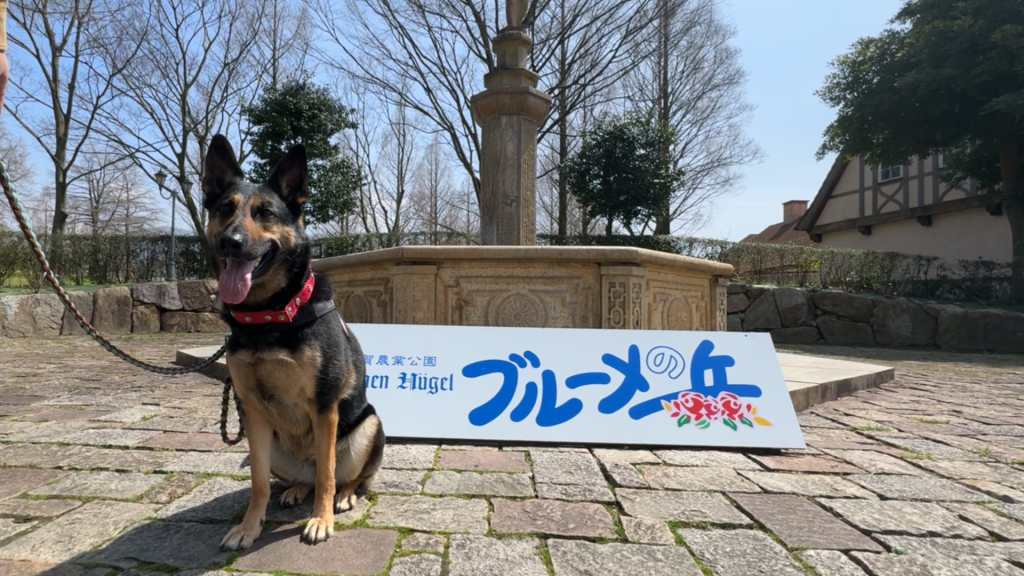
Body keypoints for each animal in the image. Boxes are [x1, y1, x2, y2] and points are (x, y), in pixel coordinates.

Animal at [201, 134, 384, 550]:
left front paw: (321, 520)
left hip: (367, 428)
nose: (229, 242)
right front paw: (249, 527)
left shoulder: (324, 406)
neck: (267, 317)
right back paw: (296, 489)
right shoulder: (251, 412)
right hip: (276, 449)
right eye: (223, 209)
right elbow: (257, 483)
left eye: (266, 213)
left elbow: (327, 475)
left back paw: (343, 497)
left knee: (347, 476)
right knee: (304, 477)